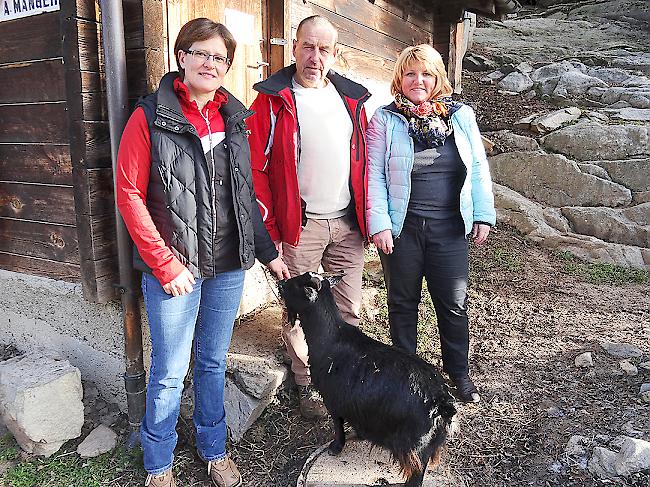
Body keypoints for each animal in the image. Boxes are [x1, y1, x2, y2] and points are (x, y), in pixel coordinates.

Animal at [278, 272, 456, 486]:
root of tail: (442, 403)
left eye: (297, 285)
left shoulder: (333, 400)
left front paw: (336, 447)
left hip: (415, 449)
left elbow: (338, 424)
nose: (280, 283)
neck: (330, 338)